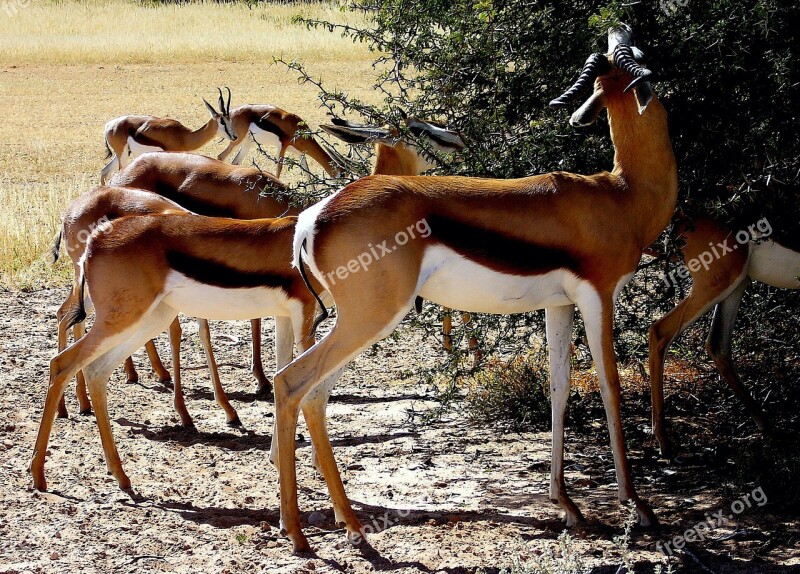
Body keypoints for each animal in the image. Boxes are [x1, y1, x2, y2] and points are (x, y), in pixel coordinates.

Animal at [97, 88, 234, 184]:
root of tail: (109, 125)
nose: (235, 136)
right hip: (123, 155)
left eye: (230, 119)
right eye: (222, 121)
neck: (184, 136)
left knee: (104, 172)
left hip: (122, 154)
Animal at [272, 23, 672, 552]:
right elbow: (610, 386)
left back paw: (346, 525)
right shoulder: (598, 296)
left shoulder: (560, 304)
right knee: (291, 383)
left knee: (314, 395)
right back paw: (300, 534)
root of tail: (314, 216)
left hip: (358, 323)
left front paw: (567, 505)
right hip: (370, 319)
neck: (622, 194)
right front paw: (637, 505)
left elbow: (560, 387)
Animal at [648, 215, 796, 454]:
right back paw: (664, 441)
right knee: (660, 331)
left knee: (717, 344)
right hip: (717, 280)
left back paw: (767, 427)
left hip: (737, 282)